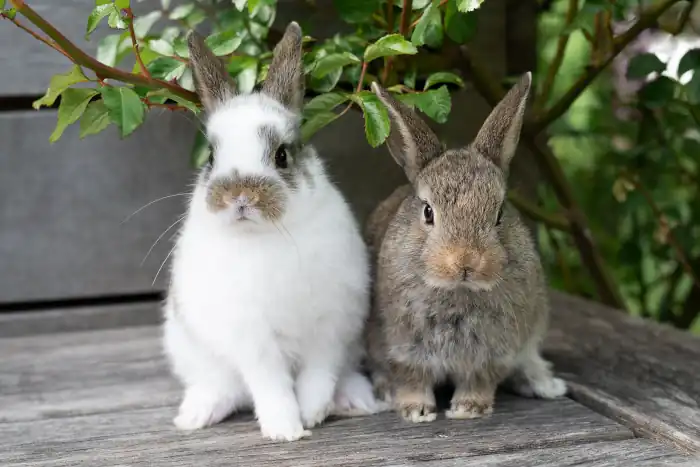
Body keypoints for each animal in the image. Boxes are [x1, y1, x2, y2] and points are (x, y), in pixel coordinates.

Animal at [162, 22, 384, 442]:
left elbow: (318, 374)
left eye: (282, 155)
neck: (266, 237)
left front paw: (312, 414)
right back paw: (196, 414)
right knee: (225, 387)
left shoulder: (330, 324)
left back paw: (356, 401)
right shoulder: (252, 337)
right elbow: (270, 383)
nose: (240, 195)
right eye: (211, 157)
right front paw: (286, 430)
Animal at [364, 73, 567, 423]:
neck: (458, 292)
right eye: (428, 212)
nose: (466, 262)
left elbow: (479, 380)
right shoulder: (401, 348)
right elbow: (412, 379)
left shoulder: (493, 353)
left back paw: (545, 384)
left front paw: (468, 409)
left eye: (499, 213)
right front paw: (416, 411)